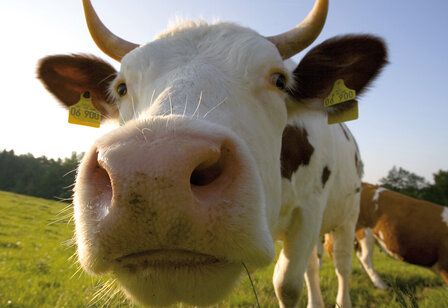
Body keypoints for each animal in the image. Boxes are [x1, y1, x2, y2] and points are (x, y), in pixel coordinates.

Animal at [36, 1, 386, 306]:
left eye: (279, 80)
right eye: (121, 88)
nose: (153, 174)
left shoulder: (309, 209)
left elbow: (287, 284)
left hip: (348, 215)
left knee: (341, 264)